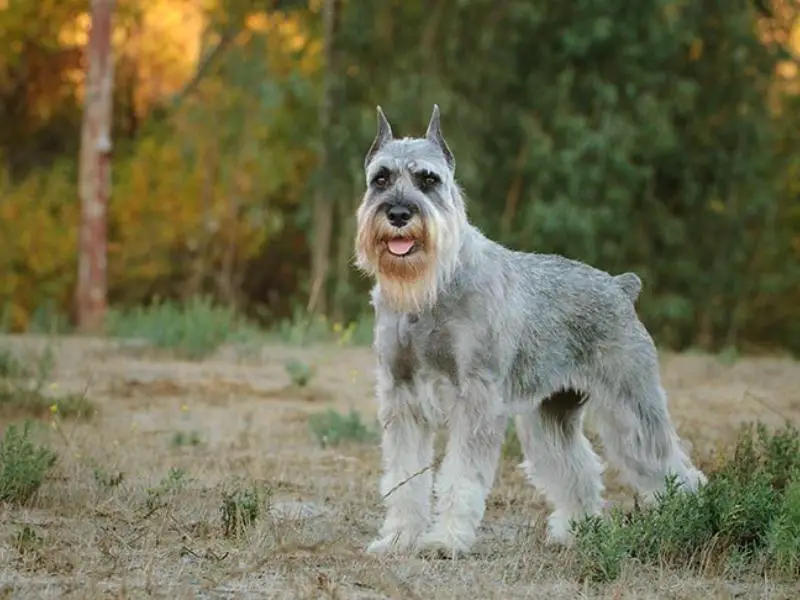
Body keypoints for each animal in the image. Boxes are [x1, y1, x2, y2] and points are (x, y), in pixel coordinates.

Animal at [354, 104, 704, 556]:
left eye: (428, 180)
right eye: (380, 178)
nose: (398, 213)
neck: (433, 287)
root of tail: (621, 286)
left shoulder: (477, 396)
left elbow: (461, 477)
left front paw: (446, 540)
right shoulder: (402, 395)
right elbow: (404, 477)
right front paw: (398, 537)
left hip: (631, 406)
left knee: (670, 464)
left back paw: (691, 520)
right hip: (550, 415)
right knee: (578, 468)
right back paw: (576, 529)